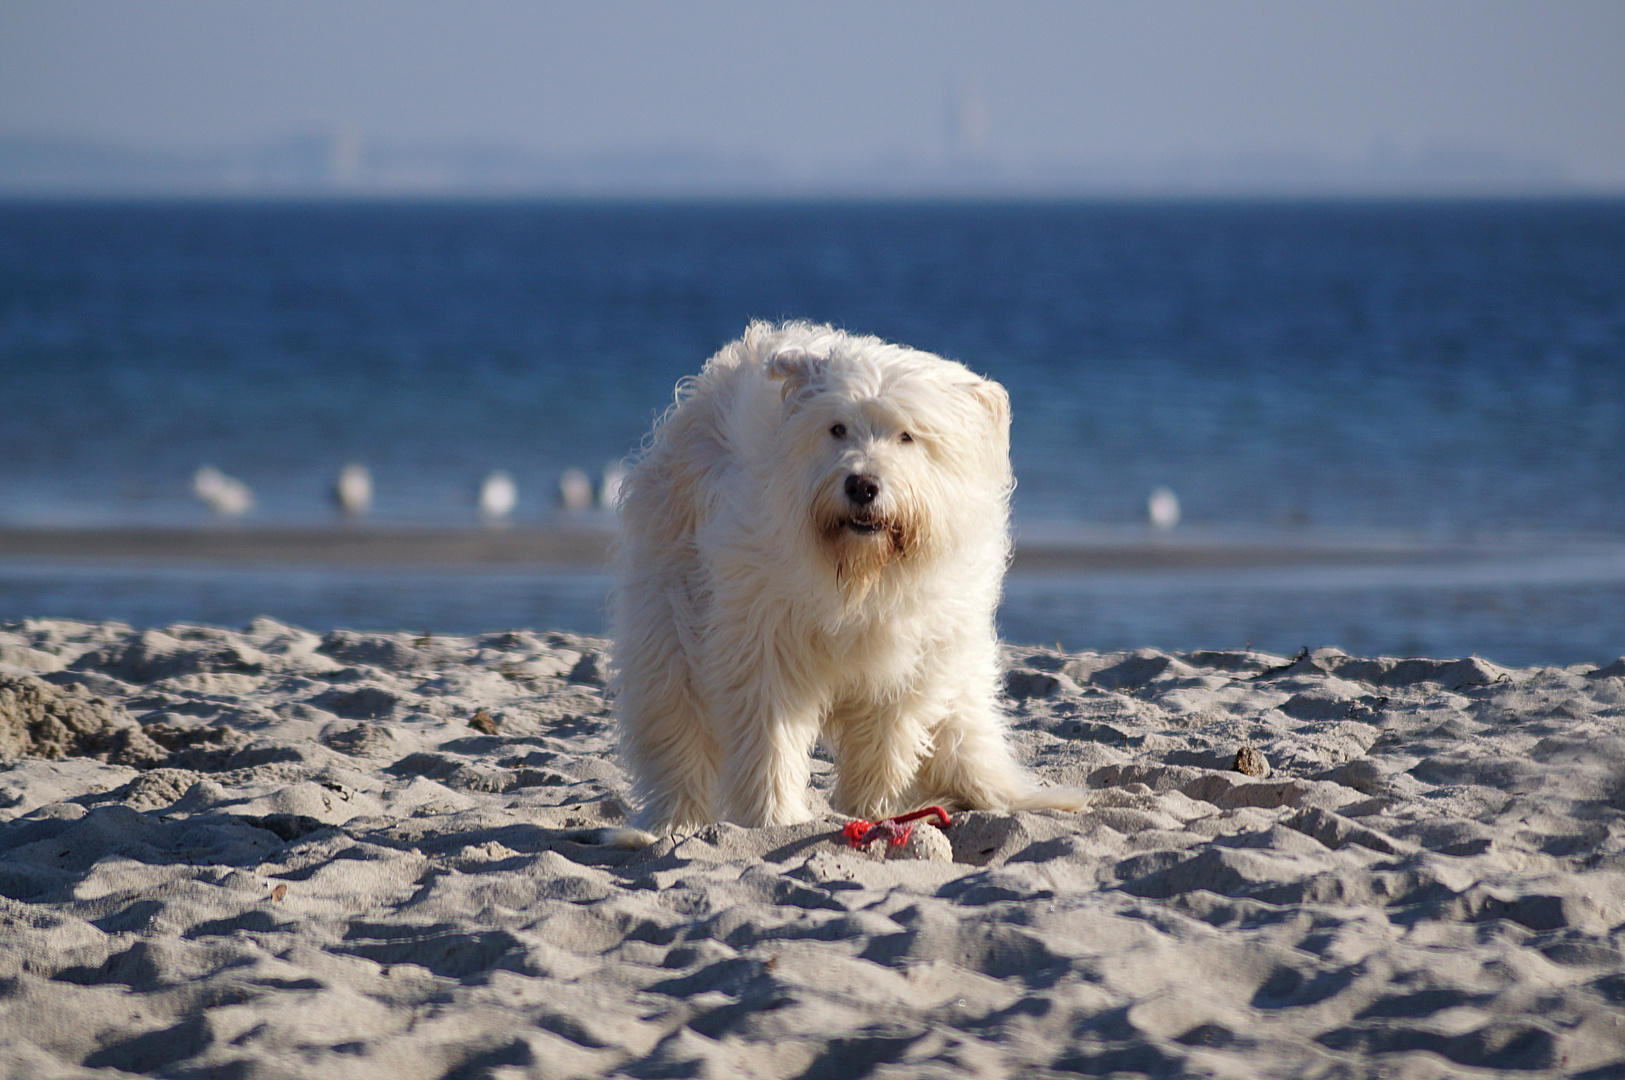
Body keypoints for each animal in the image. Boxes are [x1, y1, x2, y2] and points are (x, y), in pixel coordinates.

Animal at [611, 318, 1079, 825]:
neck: (861, 574)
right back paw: (675, 820)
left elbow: (886, 740)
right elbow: (769, 737)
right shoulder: (763, 637)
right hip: (669, 623)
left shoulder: (907, 657)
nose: (862, 485)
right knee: (676, 727)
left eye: (907, 436)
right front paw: (773, 818)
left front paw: (871, 812)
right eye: (837, 428)